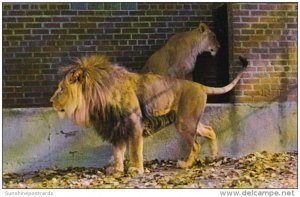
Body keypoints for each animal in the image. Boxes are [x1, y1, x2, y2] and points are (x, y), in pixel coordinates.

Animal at [51, 53, 248, 174]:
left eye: (61, 90)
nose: (51, 101)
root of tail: (200, 85)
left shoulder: (134, 123)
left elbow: (135, 149)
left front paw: (136, 170)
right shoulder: (116, 128)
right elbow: (118, 152)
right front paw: (116, 170)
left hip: (184, 122)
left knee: (195, 145)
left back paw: (185, 164)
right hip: (190, 120)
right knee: (210, 130)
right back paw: (214, 156)